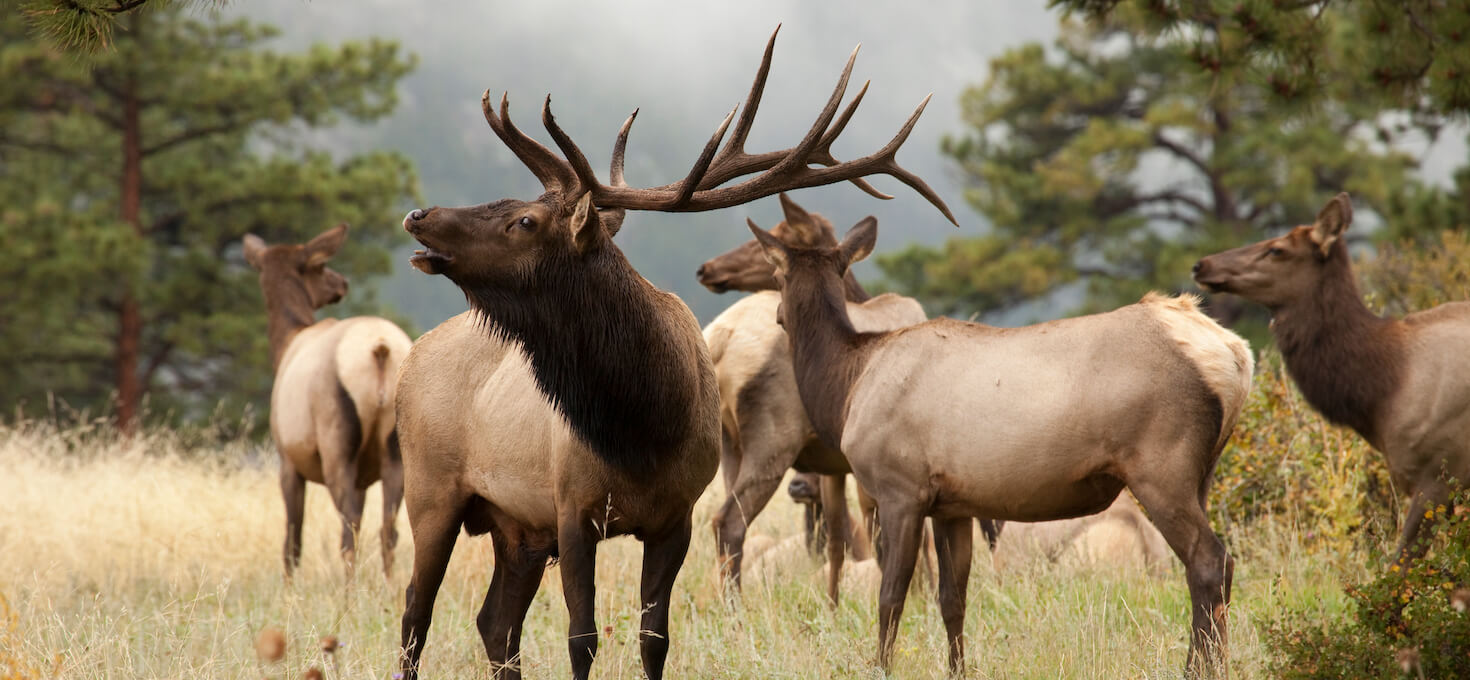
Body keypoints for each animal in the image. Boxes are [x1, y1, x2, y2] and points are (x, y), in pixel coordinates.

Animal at [241, 226, 414, 578]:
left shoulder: (287, 460)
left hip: (336, 443)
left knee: (349, 531)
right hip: (396, 451)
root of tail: (381, 349)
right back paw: (390, 588)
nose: (342, 283)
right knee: (387, 531)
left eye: (318, 263)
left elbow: (292, 543)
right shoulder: (363, 478)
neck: (285, 343)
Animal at [396, 26, 958, 680]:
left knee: (493, 623)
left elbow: (653, 638)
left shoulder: (674, 517)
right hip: (431, 492)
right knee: (415, 615)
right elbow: (582, 638)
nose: (418, 213)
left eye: (525, 220)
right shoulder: (572, 509)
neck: (643, 429)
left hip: (516, 528)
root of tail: (412, 356)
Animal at [758, 214, 1252, 675]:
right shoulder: (951, 505)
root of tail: (1235, 354)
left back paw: (1197, 669)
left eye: (776, 276)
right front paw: (957, 670)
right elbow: (952, 599)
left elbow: (891, 596)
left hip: (1162, 466)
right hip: (1202, 473)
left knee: (1209, 562)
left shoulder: (900, 489)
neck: (848, 389)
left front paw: (881, 668)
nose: (777, 315)